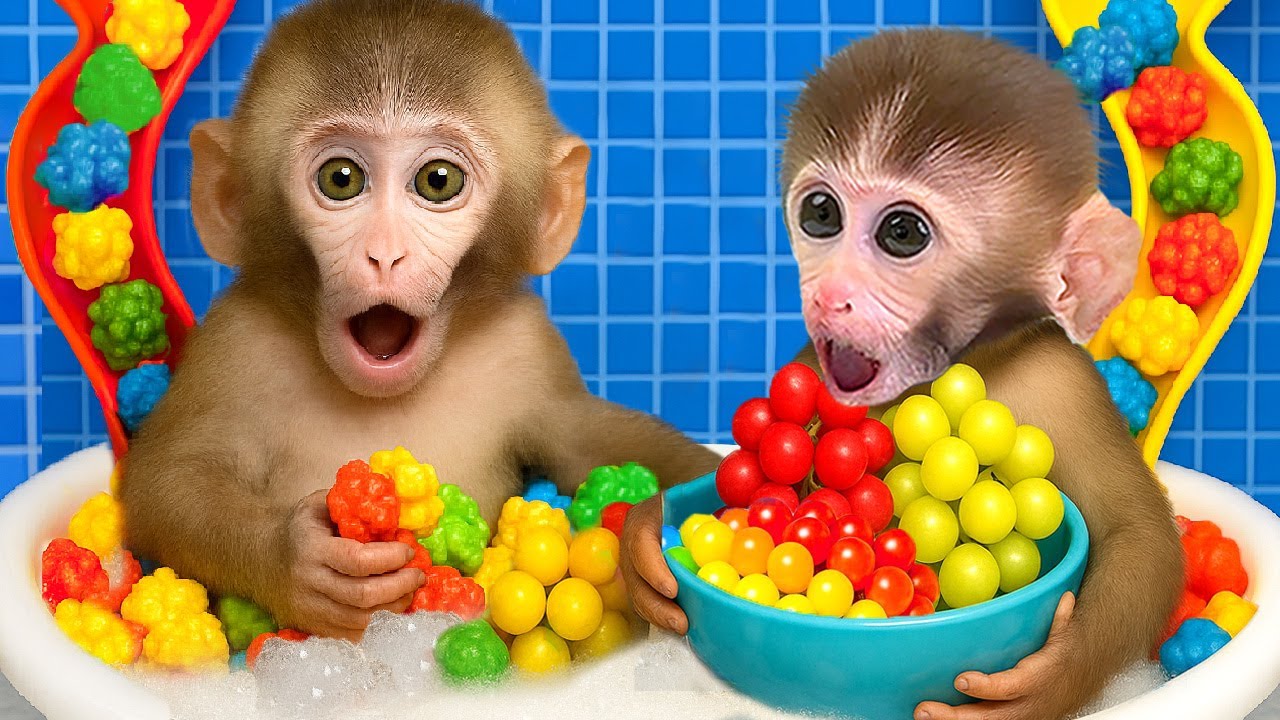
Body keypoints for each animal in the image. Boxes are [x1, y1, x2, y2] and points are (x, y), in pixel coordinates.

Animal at [119, 0, 720, 641]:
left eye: (438, 180)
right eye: (341, 179)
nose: (384, 255)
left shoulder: (530, 349)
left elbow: (591, 436)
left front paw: (647, 535)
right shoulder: (233, 343)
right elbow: (167, 480)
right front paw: (299, 562)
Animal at [621, 30, 1183, 720]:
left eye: (902, 232)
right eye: (821, 214)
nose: (830, 294)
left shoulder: (1062, 384)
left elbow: (1138, 535)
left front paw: (1046, 679)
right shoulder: (811, 361)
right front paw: (645, 542)